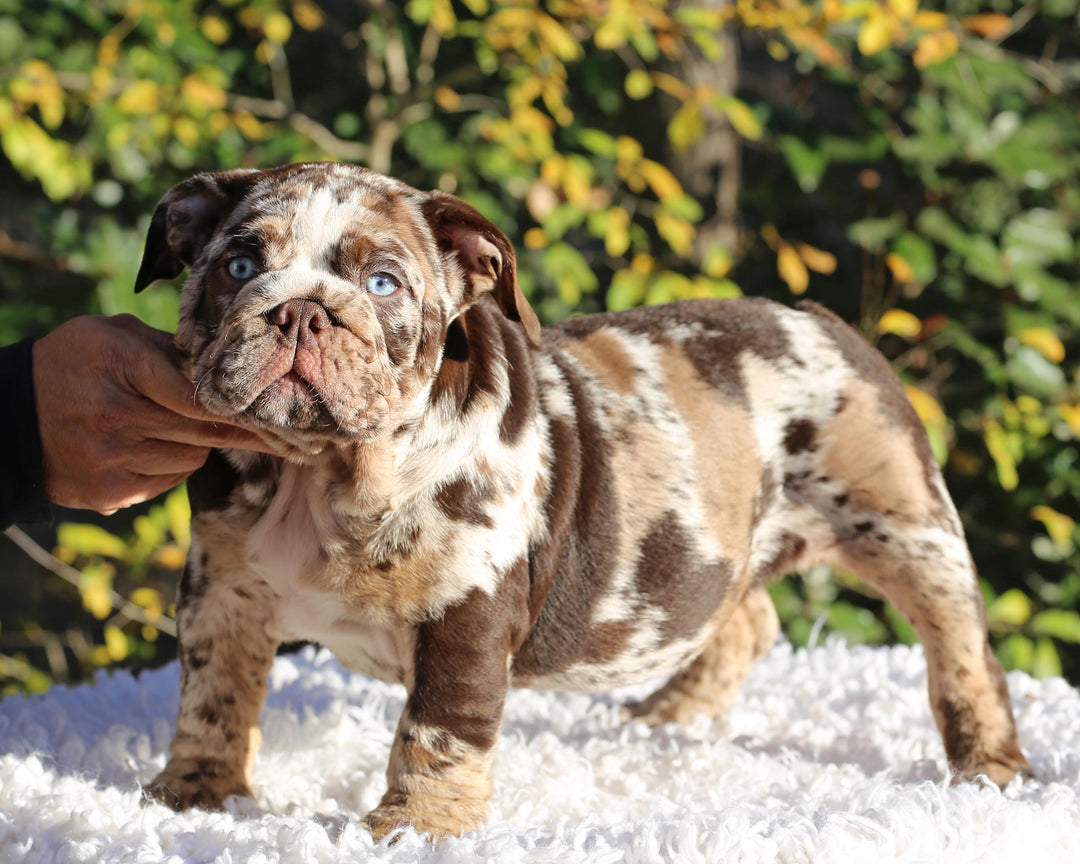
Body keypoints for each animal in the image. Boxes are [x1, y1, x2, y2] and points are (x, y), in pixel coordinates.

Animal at [135, 159, 1028, 838]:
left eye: (383, 283)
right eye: (238, 267)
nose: (301, 311)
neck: (323, 470)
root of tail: (820, 321)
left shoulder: (467, 611)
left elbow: (438, 729)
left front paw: (415, 828)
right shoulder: (223, 594)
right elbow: (214, 693)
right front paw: (195, 794)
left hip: (906, 525)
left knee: (962, 650)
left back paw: (988, 766)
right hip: (714, 541)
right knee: (741, 615)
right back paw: (669, 715)